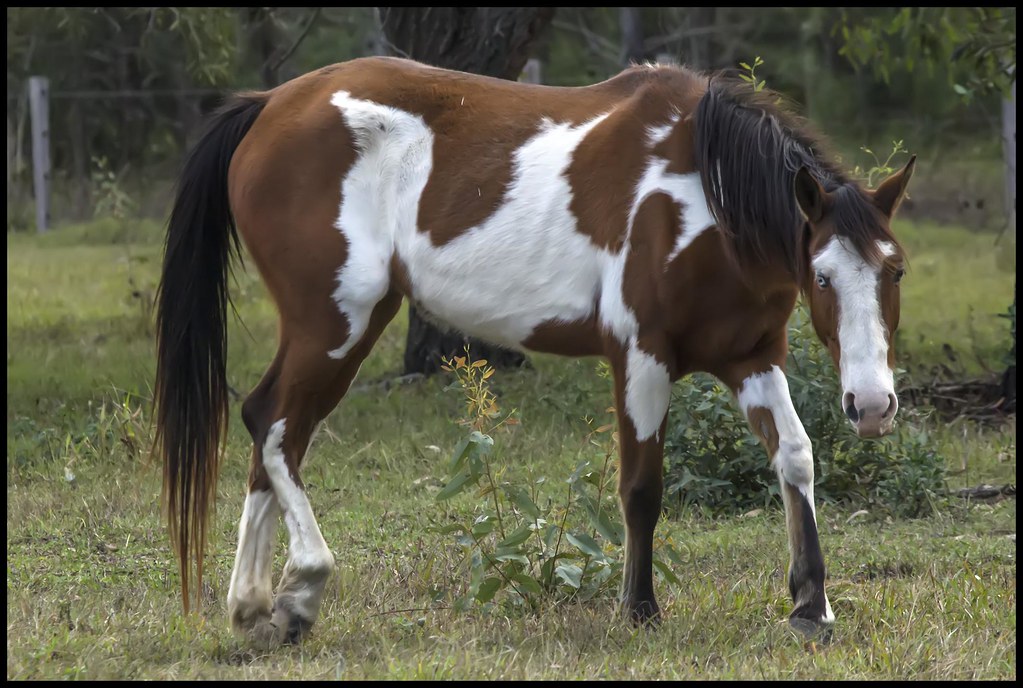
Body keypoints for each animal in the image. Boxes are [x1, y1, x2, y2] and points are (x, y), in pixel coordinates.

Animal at [153, 56, 915, 647]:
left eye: (895, 271)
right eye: (822, 276)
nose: (873, 404)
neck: (706, 195)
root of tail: (268, 105)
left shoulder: (751, 357)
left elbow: (796, 455)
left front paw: (811, 606)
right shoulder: (641, 357)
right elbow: (642, 488)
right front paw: (640, 612)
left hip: (337, 328)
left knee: (273, 425)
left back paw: (255, 607)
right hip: (336, 322)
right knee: (275, 425)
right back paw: (302, 586)